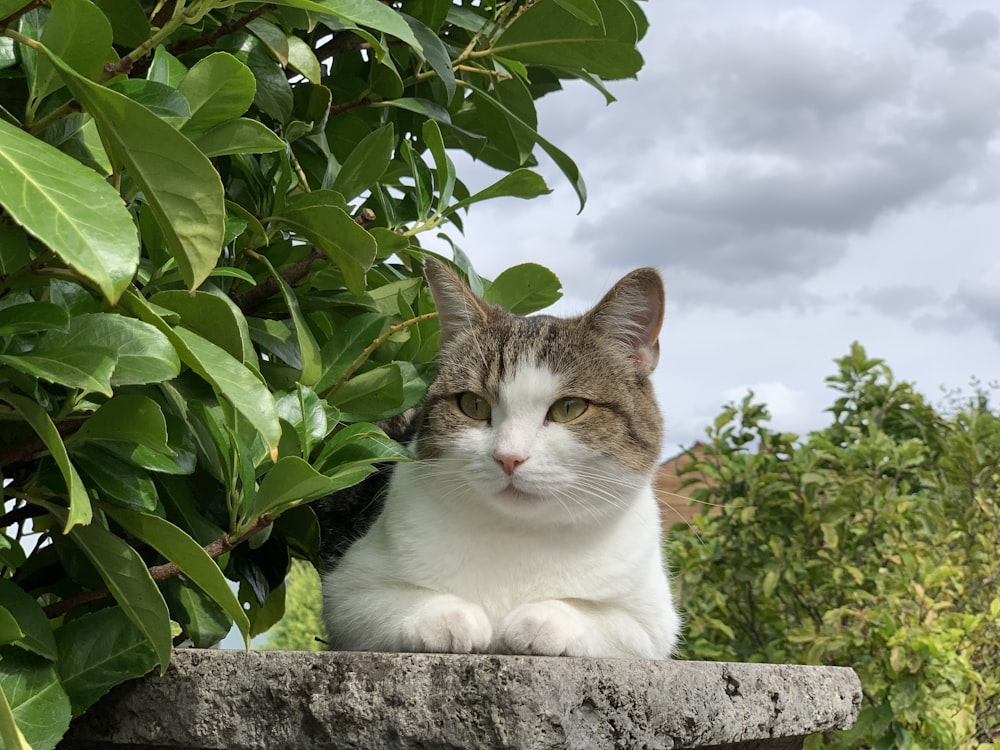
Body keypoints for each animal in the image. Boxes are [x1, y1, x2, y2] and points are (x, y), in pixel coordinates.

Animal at [320, 258, 680, 656]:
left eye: (570, 408)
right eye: (473, 405)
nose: (509, 457)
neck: (517, 531)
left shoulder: (652, 620)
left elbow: (605, 618)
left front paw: (544, 619)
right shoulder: (347, 591)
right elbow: (384, 601)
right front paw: (451, 616)